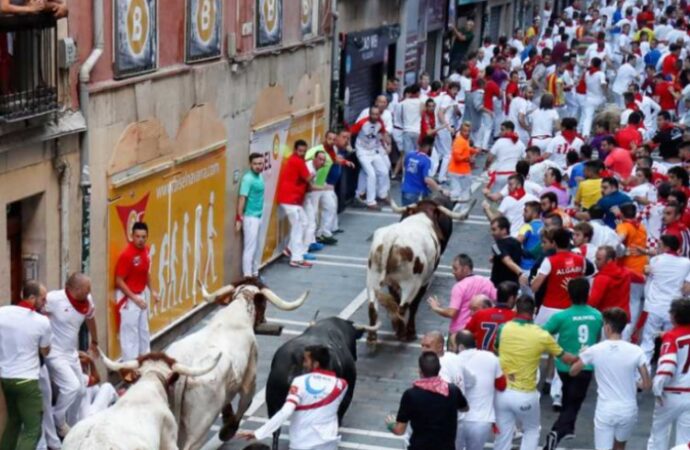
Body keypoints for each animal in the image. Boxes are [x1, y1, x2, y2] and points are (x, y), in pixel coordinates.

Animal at [165, 278, 308, 450]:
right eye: (264, 305)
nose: (264, 320)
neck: (237, 312)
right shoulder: (250, 376)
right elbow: (246, 402)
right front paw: (228, 430)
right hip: (200, 426)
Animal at [362, 197, 470, 342]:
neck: (421, 215)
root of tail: (392, 237)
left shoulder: (392, 283)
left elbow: (395, 299)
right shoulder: (424, 281)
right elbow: (414, 305)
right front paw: (410, 331)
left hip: (372, 279)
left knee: (373, 308)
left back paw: (373, 336)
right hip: (410, 284)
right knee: (404, 307)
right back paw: (403, 333)